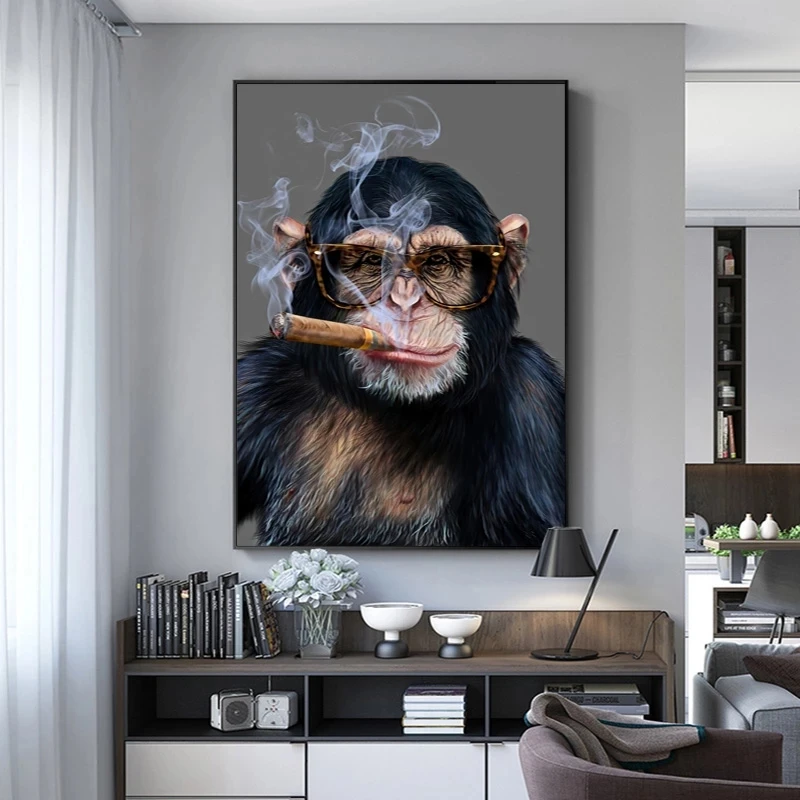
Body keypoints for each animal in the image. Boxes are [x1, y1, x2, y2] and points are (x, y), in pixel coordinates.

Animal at [237, 156, 565, 547]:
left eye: (439, 261)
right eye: (369, 261)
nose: (405, 302)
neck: (396, 409)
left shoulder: (532, 395)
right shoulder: (253, 383)